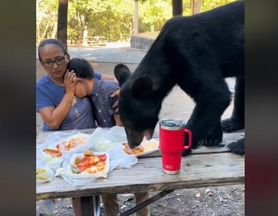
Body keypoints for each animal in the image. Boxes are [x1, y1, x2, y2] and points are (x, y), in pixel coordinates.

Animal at [113, 0, 243, 154]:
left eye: (131, 123)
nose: (132, 144)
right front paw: (211, 137)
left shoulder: (190, 49)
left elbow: (215, 94)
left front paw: (181, 146)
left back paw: (239, 145)